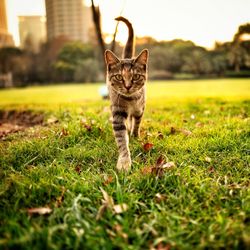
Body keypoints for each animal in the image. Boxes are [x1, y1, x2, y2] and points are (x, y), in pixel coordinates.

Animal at [104, 16, 148, 172]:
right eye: (119, 77)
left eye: (136, 76)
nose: (128, 86)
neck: (130, 100)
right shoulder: (117, 112)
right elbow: (121, 139)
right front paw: (124, 161)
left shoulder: (140, 108)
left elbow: (137, 123)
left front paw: (135, 136)